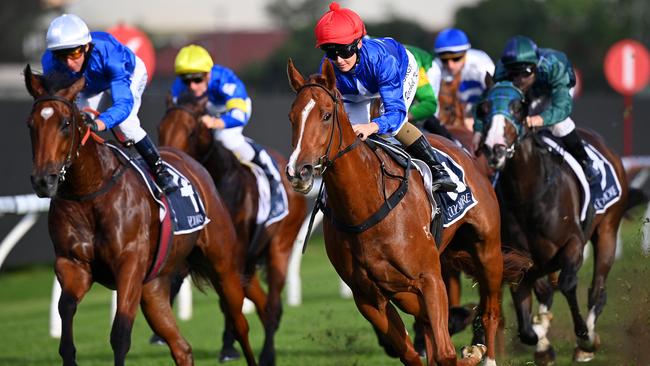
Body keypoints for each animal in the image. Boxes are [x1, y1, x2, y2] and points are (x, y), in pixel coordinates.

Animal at [24, 66, 258, 366]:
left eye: (65, 123)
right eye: (31, 124)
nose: (44, 180)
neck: (90, 193)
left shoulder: (130, 266)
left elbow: (121, 333)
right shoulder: (72, 264)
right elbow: (65, 309)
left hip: (223, 265)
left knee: (240, 323)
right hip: (153, 286)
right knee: (182, 348)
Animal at [158, 95, 308, 366]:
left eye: (192, 130)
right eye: (160, 128)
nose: (166, 159)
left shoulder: (229, 251)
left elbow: (228, 302)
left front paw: (229, 346)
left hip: (279, 245)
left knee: (271, 305)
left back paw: (267, 353)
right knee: (260, 301)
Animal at [286, 58, 520, 364]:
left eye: (326, 115)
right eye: (292, 118)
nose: (298, 171)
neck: (365, 206)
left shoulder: (429, 279)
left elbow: (445, 352)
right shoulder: (368, 298)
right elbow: (411, 353)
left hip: (487, 250)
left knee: (490, 310)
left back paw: (484, 352)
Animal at [476, 79, 628, 364]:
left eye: (518, 107)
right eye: (483, 107)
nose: (494, 148)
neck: (529, 194)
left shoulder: (573, 244)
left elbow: (568, 284)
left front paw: (583, 336)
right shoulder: (520, 259)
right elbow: (526, 323)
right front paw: (541, 342)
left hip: (608, 230)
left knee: (596, 288)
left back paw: (587, 340)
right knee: (547, 289)